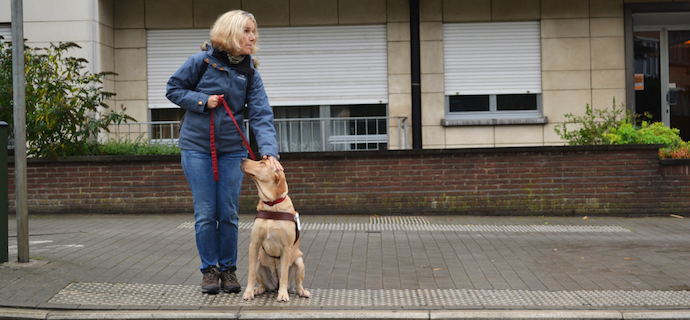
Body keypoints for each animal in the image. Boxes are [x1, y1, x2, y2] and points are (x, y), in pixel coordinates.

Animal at [239, 159, 310, 302]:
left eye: (262, 162)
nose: (243, 159)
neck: (272, 204)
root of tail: (274, 285)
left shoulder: (286, 248)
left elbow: (284, 275)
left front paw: (283, 294)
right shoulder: (254, 244)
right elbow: (251, 274)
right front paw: (249, 292)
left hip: (299, 262)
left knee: (297, 283)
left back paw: (301, 291)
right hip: (259, 262)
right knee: (264, 285)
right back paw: (258, 289)